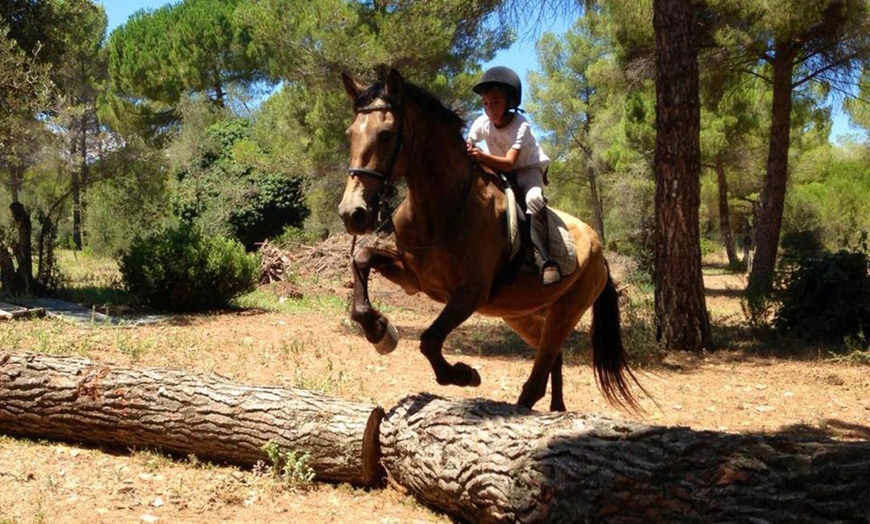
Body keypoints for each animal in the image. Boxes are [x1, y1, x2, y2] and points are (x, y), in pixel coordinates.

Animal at [338, 68, 644, 414]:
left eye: (386, 134)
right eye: (350, 133)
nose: (353, 213)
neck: (444, 206)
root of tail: (599, 251)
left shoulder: (471, 293)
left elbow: (430, 340)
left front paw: (464, 375)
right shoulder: (414, 278)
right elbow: (362, 259)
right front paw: (380, 332)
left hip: (565, 312)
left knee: (539, 374)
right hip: (521, 315)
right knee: (552, 358)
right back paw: (556, 409)